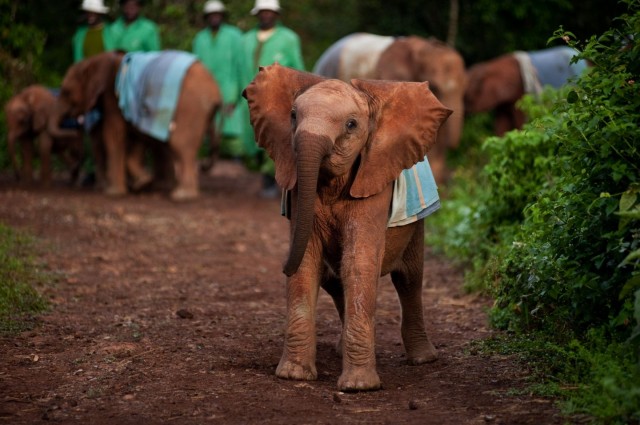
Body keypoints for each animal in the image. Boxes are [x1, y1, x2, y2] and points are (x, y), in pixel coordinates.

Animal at [48, 51, 222, 200]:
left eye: (66, 92)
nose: (76, 124)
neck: (96, 59)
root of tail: (215, 89)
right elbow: (136, 138)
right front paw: (142, 183)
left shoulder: (113, 98)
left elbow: (114, 135)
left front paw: (114, 193)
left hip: (190, 107)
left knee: (179, 144)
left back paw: (182, 195)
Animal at [242, 63, 452, 390]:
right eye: (292, 115)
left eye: (351, 125)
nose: (281, 266)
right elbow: (307, 264)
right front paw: (293, 375)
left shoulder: (373, 181)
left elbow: (359, 262)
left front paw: (358, 387)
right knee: (333, 279)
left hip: (417, 225)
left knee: (409, 279)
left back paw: (422, 359)